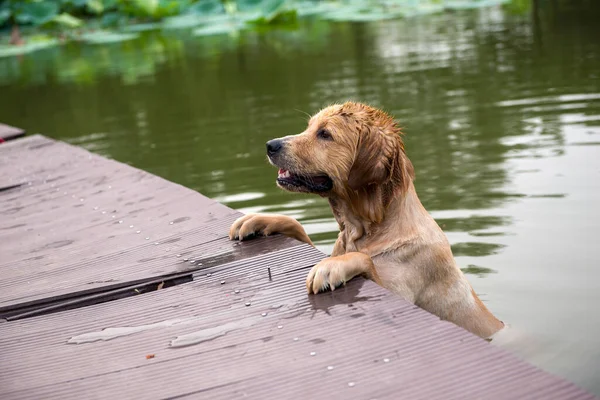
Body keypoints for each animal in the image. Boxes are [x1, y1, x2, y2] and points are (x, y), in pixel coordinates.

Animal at [227, 101, 504, 340]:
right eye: (309, 127)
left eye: (325, 134)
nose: (270, 145)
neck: (365, 230)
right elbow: (297, 224)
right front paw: (257, 220)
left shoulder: (401, 292)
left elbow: (364, 259)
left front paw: (330, 267)